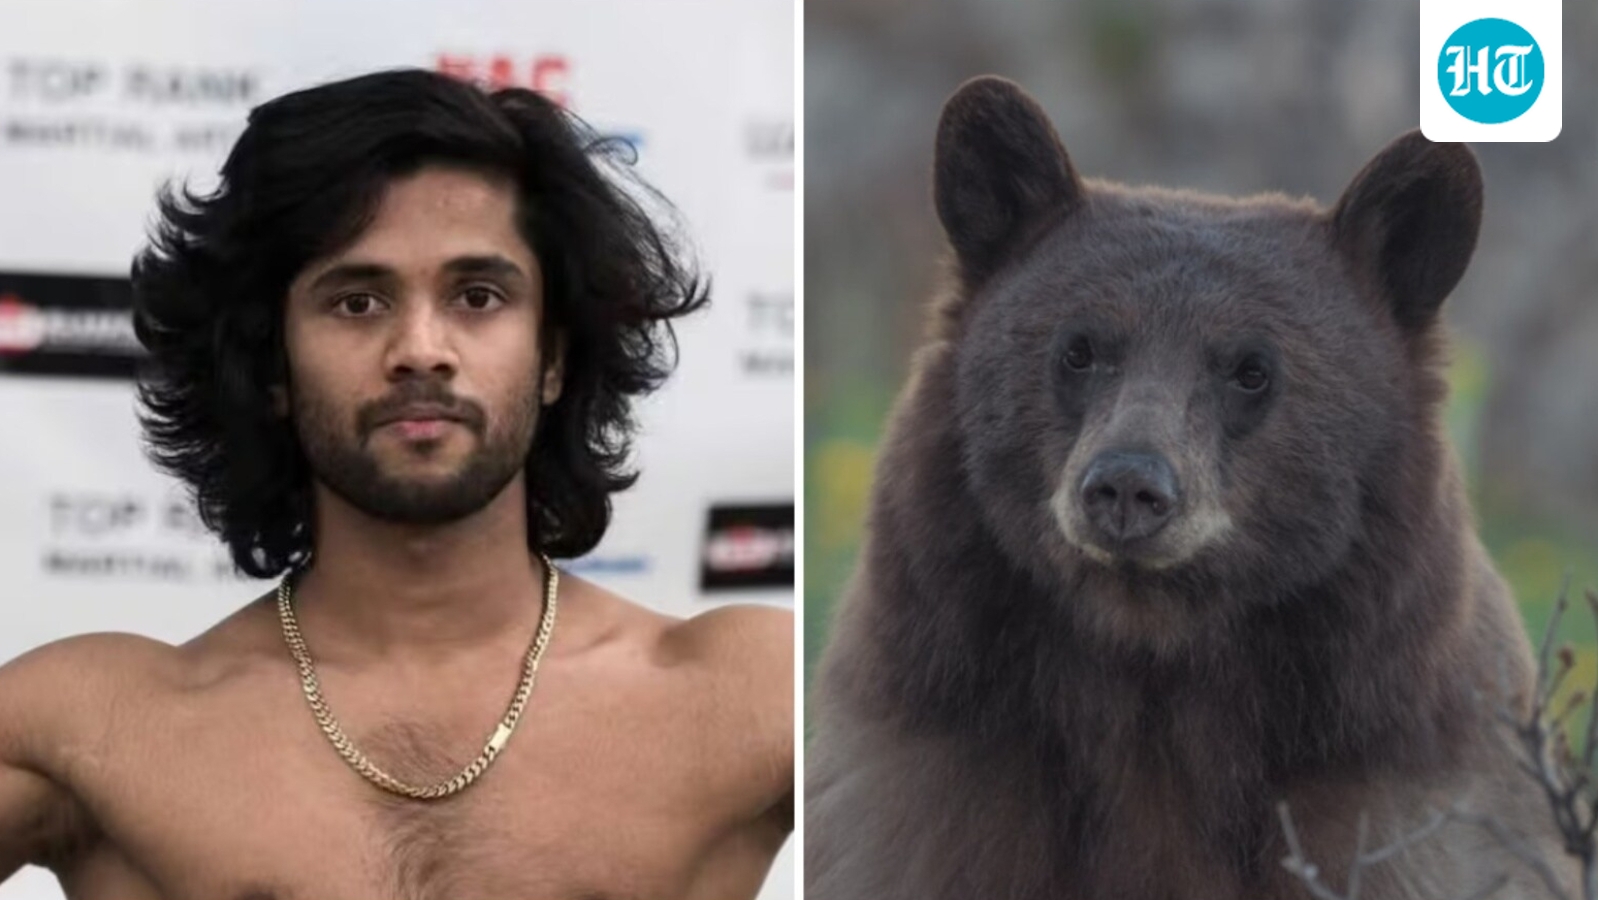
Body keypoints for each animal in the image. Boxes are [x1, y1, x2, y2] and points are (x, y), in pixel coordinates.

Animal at [805, 76, 1576, 900]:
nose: (1127, 486)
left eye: (1252, 369)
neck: (1155, 666)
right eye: (1078, 350)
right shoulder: (931, 780)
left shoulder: (1408, 804)